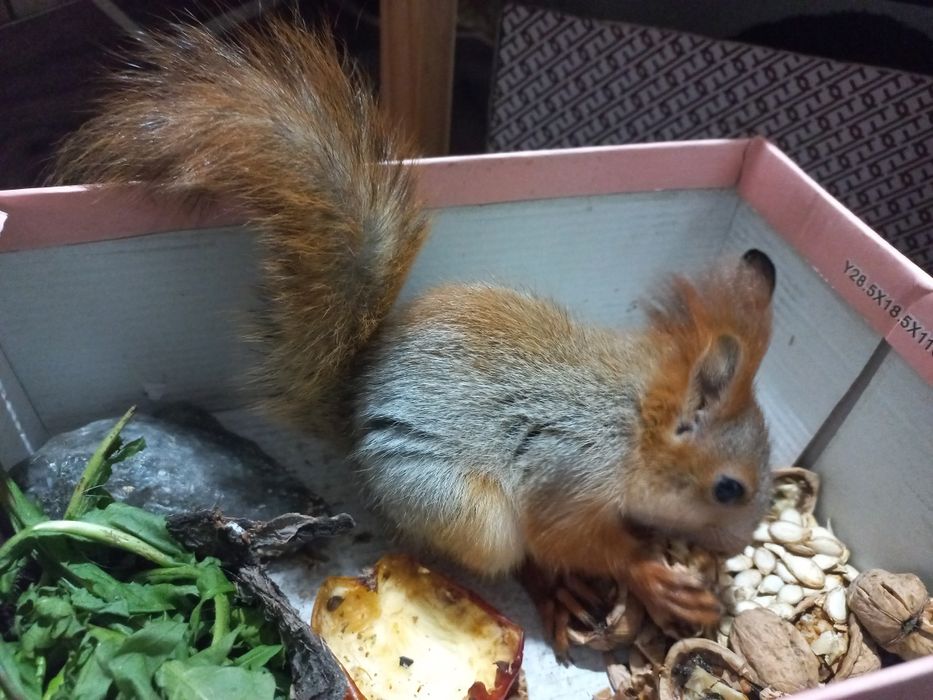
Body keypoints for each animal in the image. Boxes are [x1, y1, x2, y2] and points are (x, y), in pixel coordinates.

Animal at [55, 20, 776, 635]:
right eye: (729, 488)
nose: (739, 543)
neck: (630, 426)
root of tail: (354, 408)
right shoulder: (571, 476)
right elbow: (566, 538)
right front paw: (652, 574)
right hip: (465, 510)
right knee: (514, 557)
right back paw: (555, 592)